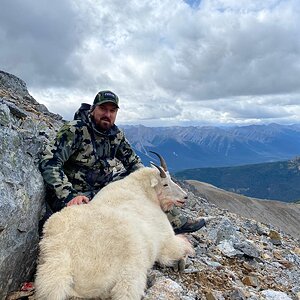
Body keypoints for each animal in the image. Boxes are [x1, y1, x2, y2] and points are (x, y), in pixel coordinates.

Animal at [35, 152, 195, 300]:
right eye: (165, 183)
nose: (185, 197)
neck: (144, 192)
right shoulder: (166, 240)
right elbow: (180, 247)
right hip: (130, 274)